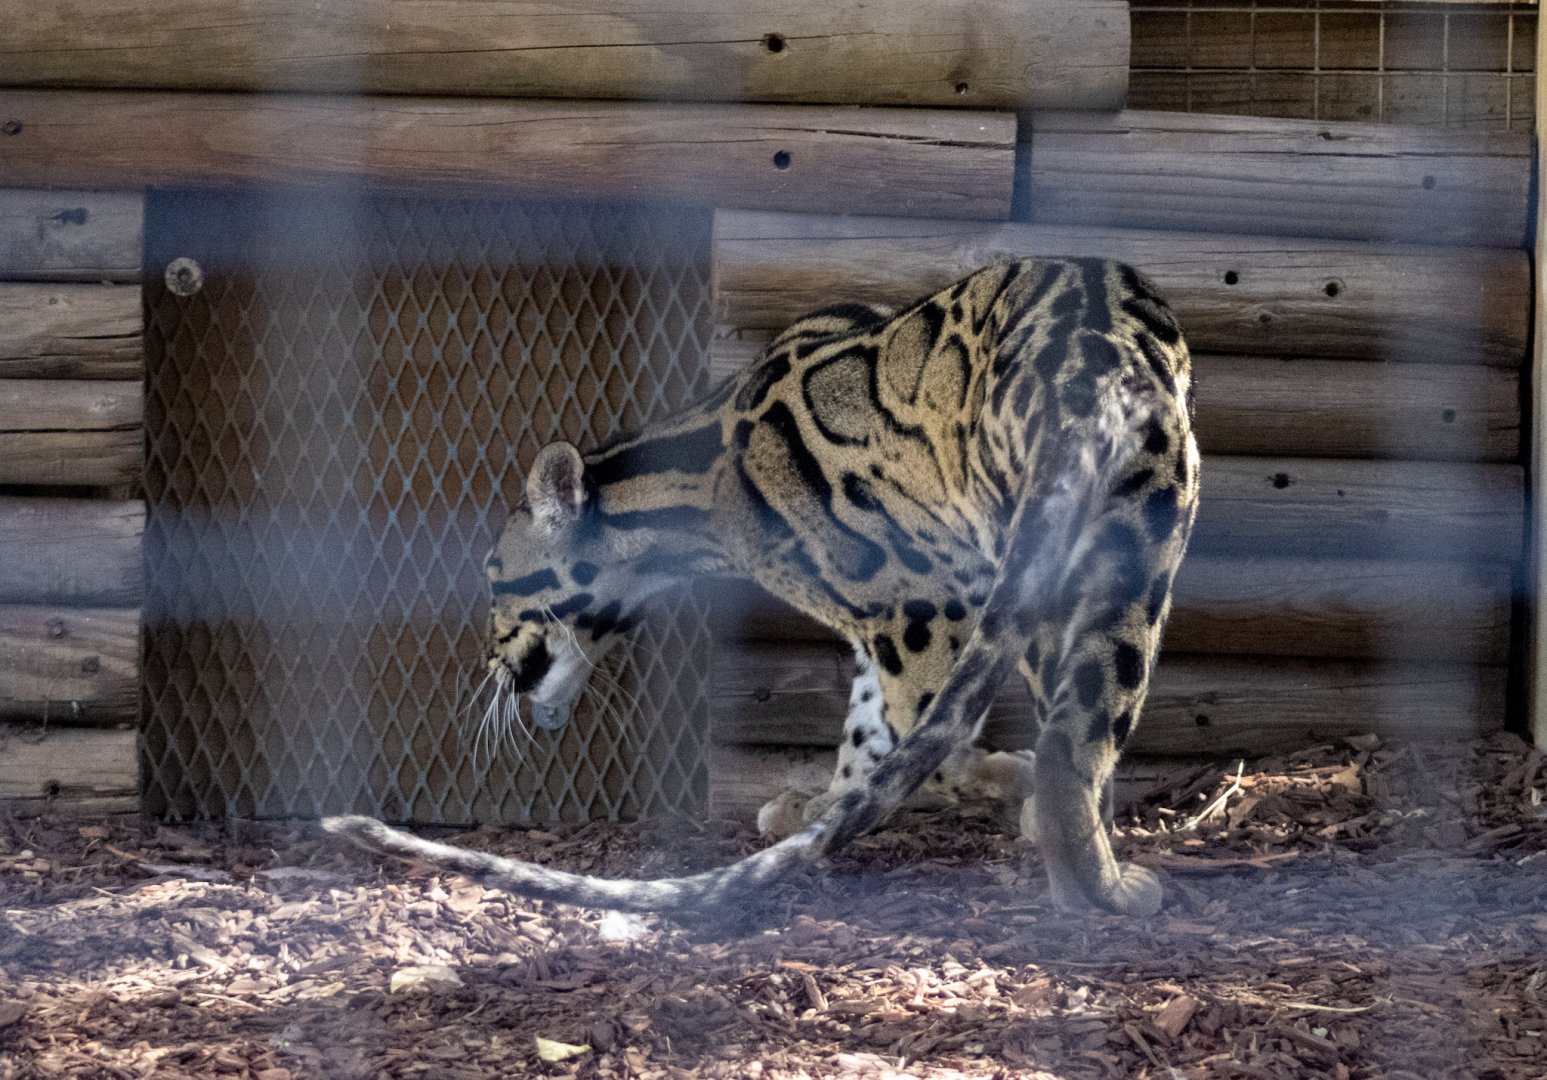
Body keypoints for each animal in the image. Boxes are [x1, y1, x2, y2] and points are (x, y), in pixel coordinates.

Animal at [325, 257, 1199, 920]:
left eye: (493, 580)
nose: (487, 666)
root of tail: (1086, 379)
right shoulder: (892, 616)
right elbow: (871, 727)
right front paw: (825, 806)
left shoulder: (919, 606)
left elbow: (922, 740)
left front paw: (957, 785)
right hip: (1124, 551)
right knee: (1078, 726)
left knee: (1064, 744)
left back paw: (1092, 876)